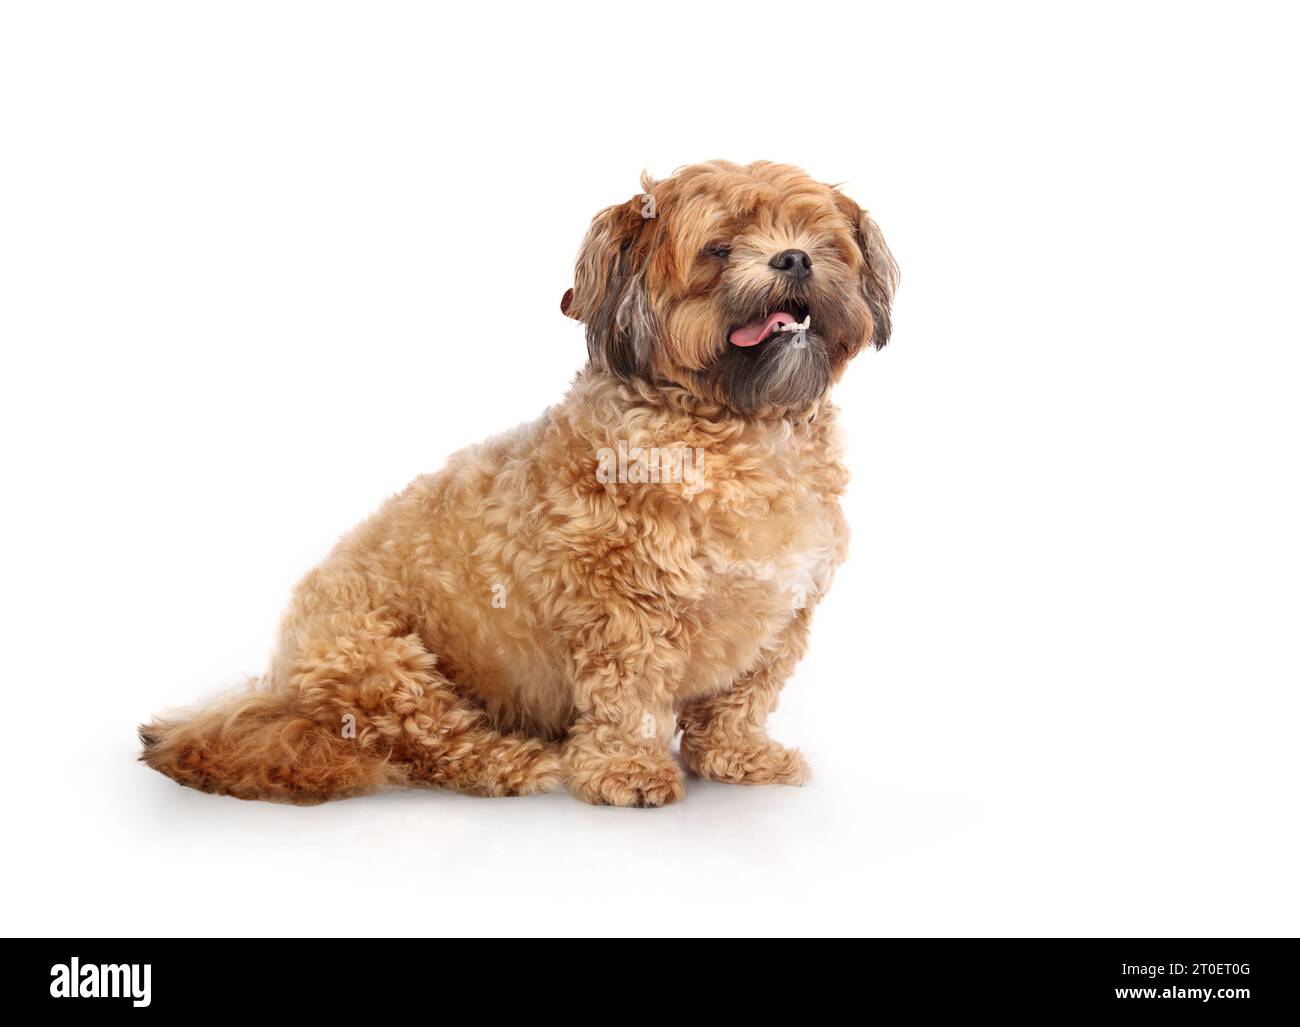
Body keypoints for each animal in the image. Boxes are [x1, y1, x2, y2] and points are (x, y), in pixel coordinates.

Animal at [139, 161, 894, 806]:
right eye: (718, 248)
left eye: (821, 241)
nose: (793, 258)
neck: (741, 430)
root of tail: (281, 691)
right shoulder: (622, 611)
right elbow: (629, 697)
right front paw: (627, 769)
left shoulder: (783, 616)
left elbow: (742, 699)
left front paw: (740, 755)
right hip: (384, 662)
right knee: (432, 745)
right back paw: (513, 760)